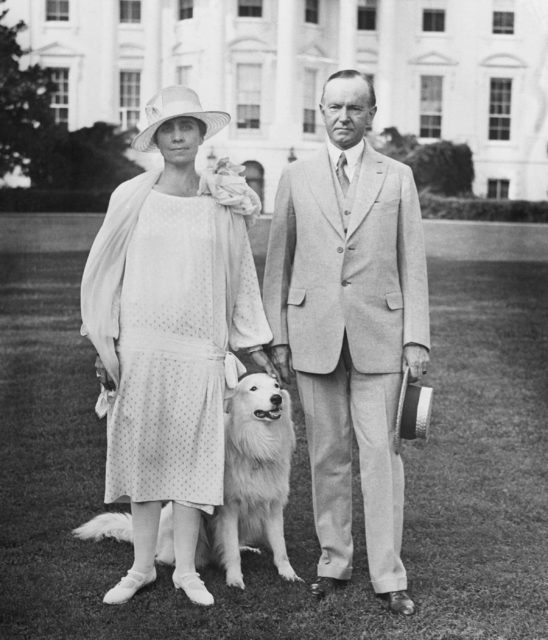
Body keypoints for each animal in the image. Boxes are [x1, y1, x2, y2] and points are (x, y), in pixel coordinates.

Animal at [71, 376, 300, 592]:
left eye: (277, 386)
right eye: (253, 388)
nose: (277, 399)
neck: (258, 445)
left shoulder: (274, 508)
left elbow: (280, 548)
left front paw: (289, 574)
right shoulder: (229, 511)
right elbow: (232, 551)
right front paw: (235, 579)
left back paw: (246, 549)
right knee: (168, 557)